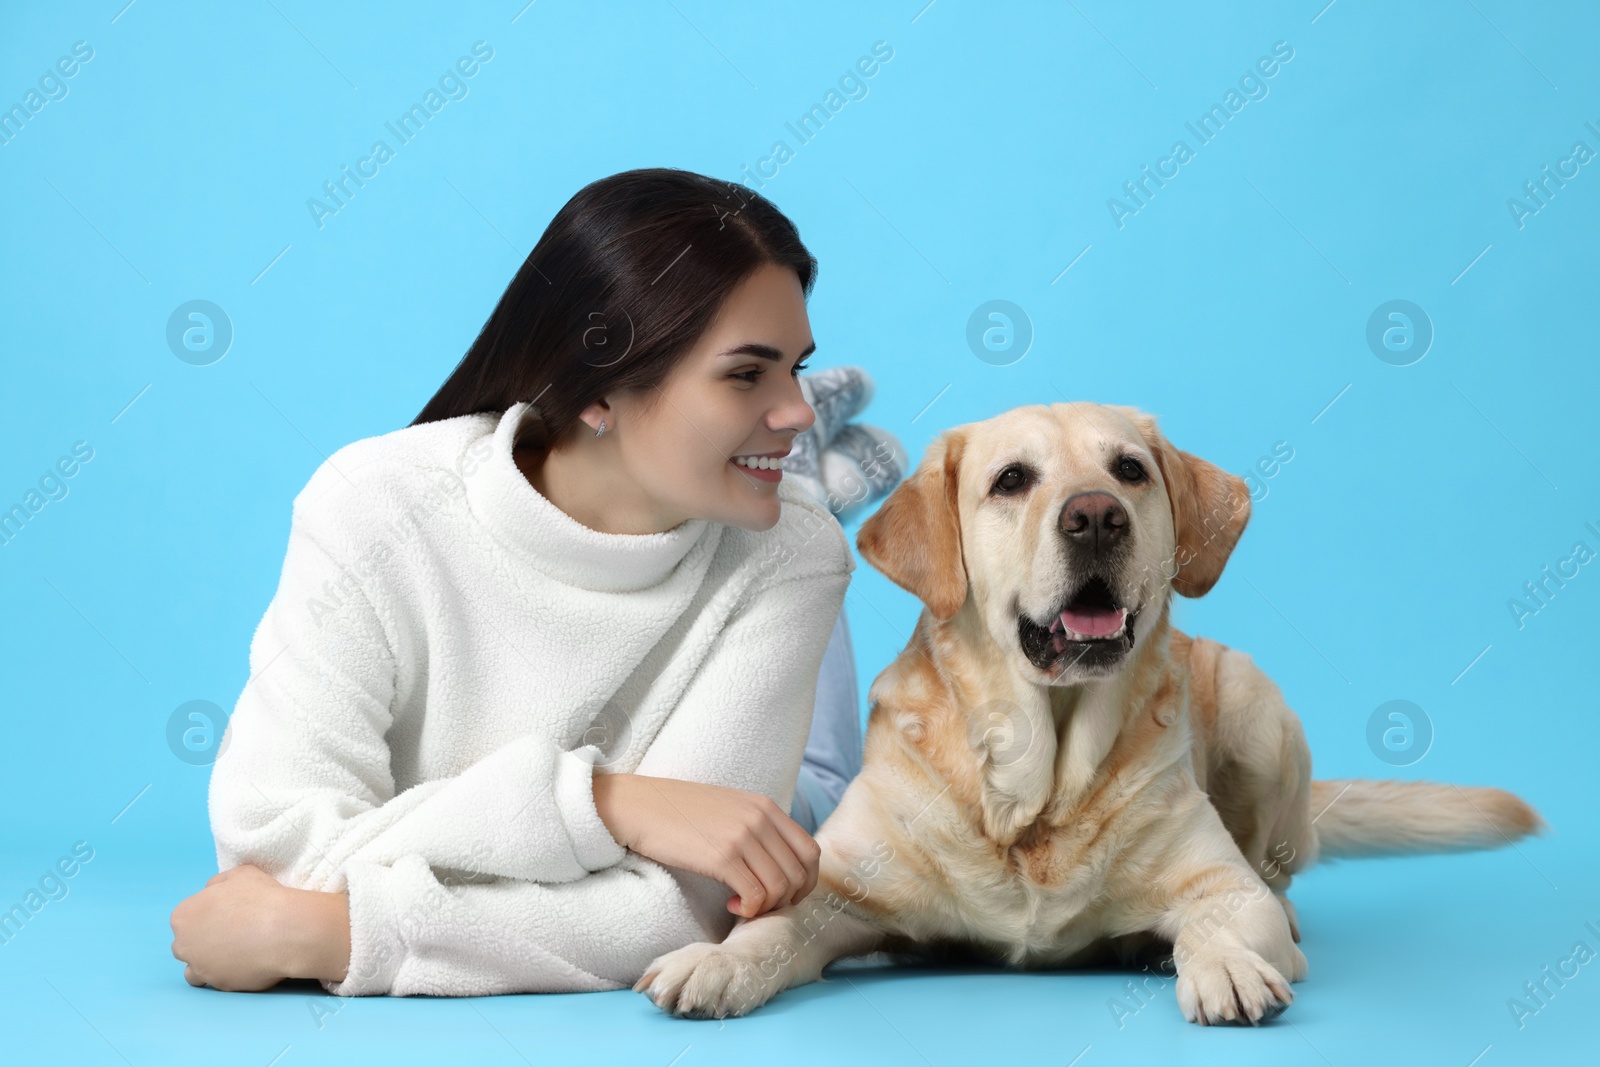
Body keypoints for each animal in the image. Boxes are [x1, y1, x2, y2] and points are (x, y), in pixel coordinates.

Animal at [630, 399, 1542, 1023]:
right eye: (1012, 480)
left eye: (1130, 469)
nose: (1097, 514)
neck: (1035, 786)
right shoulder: (841, 886)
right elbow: (771, 928)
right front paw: (714, 961)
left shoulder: (1218, 882)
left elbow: (1225, 915)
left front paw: (1225, 964)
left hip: (1255, 710)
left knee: (1276, 870)